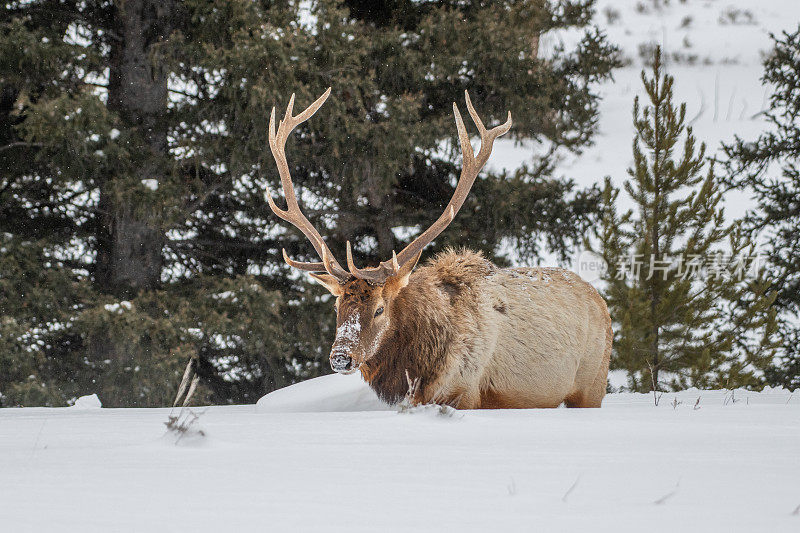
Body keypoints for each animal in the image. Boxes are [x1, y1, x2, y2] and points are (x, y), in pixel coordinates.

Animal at [266, 89, 608, 410]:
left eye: (379, 309)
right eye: (337, 306)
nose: (340, 357)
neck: (421, 365)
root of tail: (601, 303)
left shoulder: (466, 392)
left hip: (593, 383)